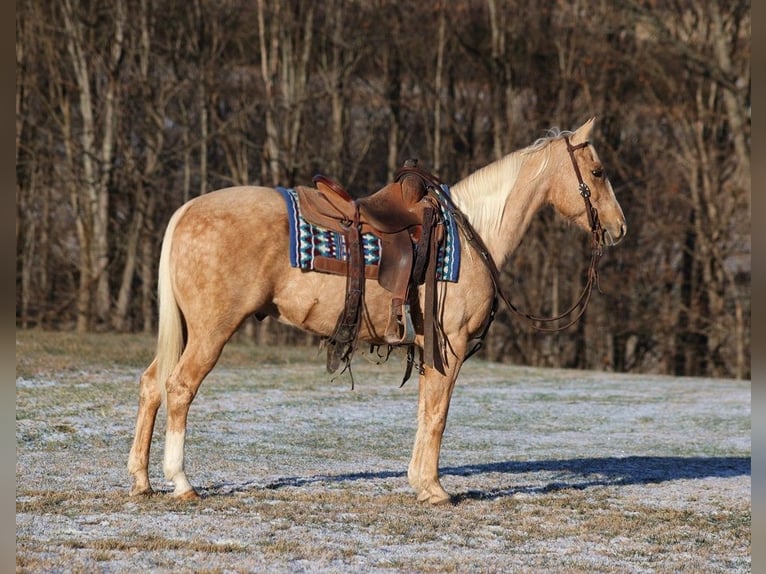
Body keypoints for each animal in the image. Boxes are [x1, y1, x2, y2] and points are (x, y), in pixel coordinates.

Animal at [129, 117, 628, 504]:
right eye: (598, 171)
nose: (619, 227)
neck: (472, 234)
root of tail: (187, 210)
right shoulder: (451, 346)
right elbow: (437, 415)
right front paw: (434, 489)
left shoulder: (430, 349)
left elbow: (426, 411)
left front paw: (420, 482)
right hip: (212, 330)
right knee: (179, 388)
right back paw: (181, 482)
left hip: (189, 330)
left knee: (152, 384)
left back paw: (141, 480)